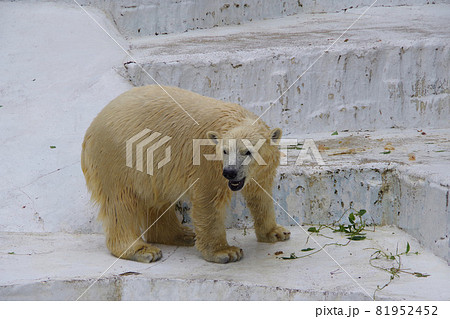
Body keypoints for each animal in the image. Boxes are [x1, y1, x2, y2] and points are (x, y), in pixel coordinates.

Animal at [81, 84, 288, 264]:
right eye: (225, 151)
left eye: (248, 151)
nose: (230, 172)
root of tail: (91, 128)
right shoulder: (208, 164)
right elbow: (208, 200)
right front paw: (225, 252)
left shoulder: (261, 170)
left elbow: (260, 195)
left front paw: (276, 232)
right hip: (118, 157)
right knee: (122, 203)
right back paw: (142, 250)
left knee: (156, 199)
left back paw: (182, 234)